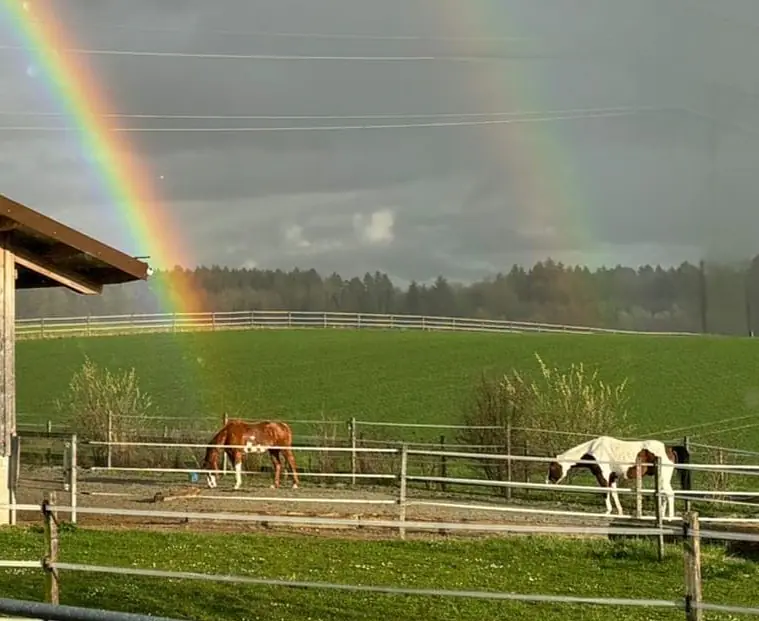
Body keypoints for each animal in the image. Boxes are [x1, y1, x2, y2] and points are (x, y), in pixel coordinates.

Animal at [548, 434, 688, 516]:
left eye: (552, 467)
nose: (548, 482)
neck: (593, 450)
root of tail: (669, 449)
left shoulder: (603, 476)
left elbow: (605, 492)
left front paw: (607, 512)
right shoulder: (612, 477)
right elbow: (614, 493)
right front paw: (620, 512)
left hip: (663, 479)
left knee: (670, 494)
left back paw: (669, 519)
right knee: (664, 496)